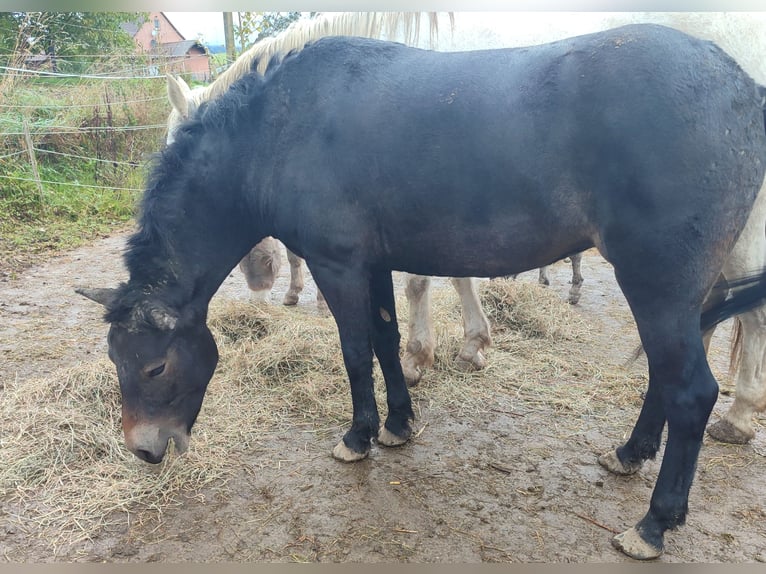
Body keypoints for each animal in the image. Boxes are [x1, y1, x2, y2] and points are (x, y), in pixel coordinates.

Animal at [79, 24, 766, 560]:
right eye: (115, 361)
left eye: (154, 365)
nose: (144, 449)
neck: (281, 129)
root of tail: (742, 91)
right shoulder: (373, 264)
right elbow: (387, 339)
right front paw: (399, 424)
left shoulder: (337, 265)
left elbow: (356, 350)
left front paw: (358, 437)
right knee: (668, 375)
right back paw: (629, 454)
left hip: (658, 284)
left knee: (692, 391)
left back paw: (654, 523)